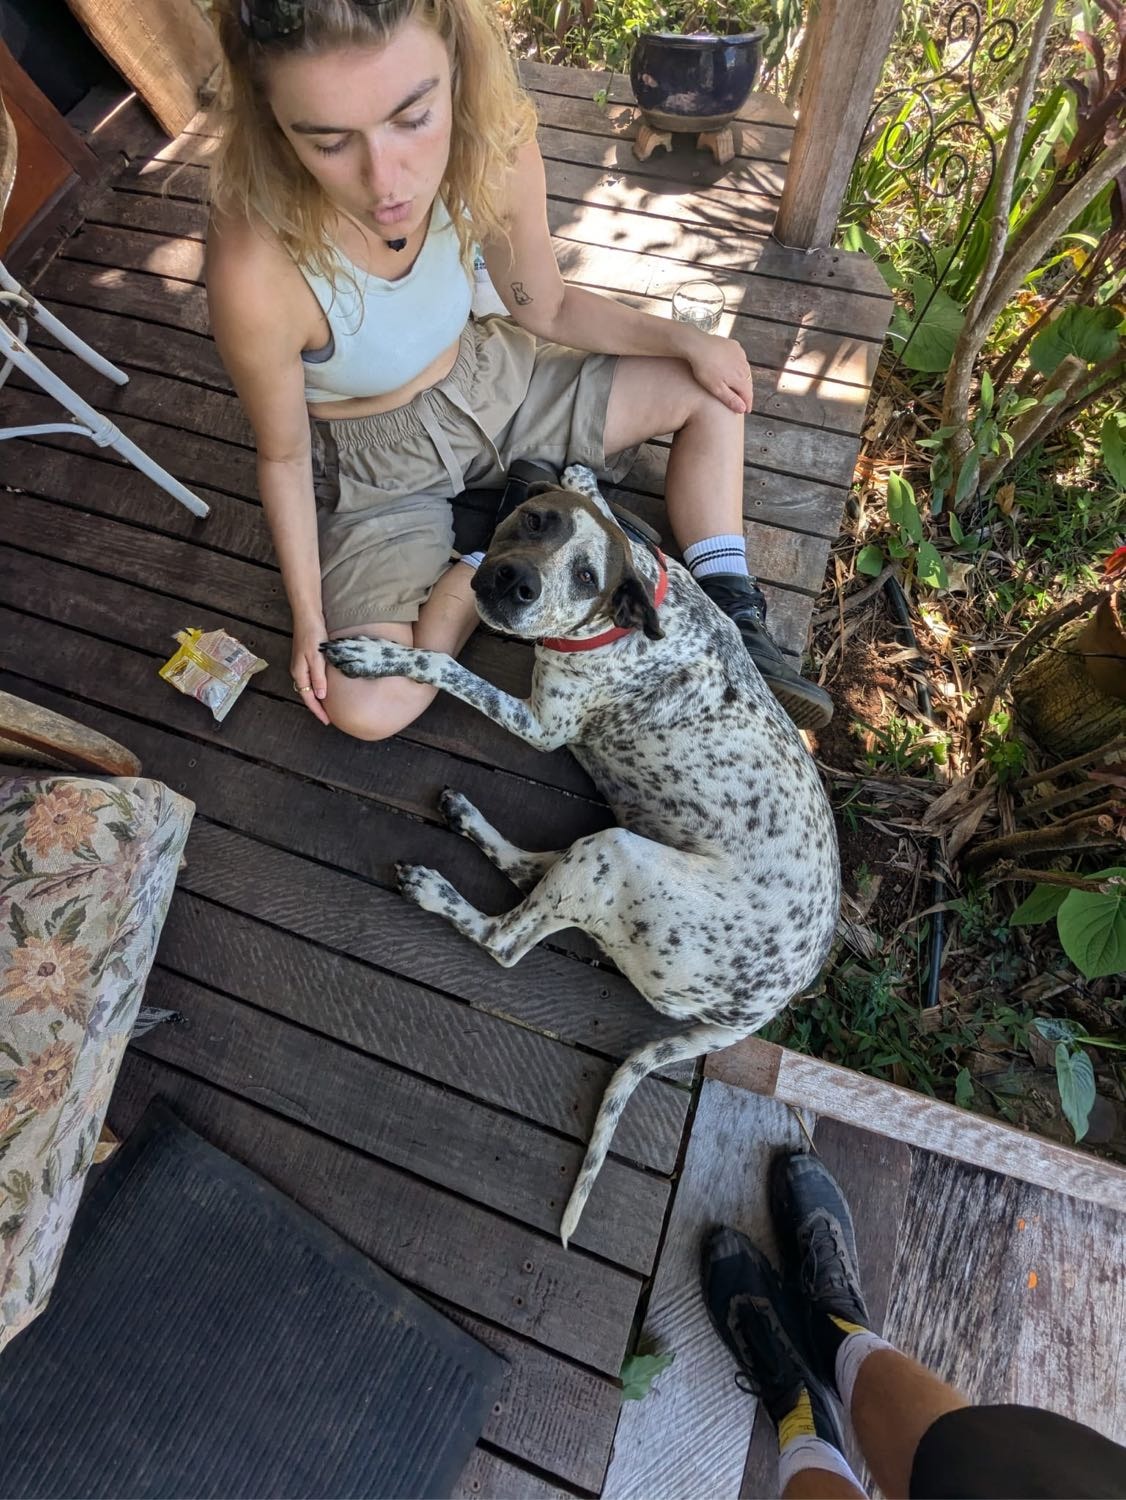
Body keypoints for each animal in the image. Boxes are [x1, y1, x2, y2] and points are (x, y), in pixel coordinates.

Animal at [322, 466, 840, 1246]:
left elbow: (438, 661)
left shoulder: (541, 724)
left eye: (586, 575)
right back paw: (470, 821)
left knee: (507, 938)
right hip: (612, 852)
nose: (512, 581)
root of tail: (765, 1006)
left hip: (615, 854)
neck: (640, 613)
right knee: (529, 873)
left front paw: (377, 657)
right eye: (537, 521)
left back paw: (436, 888)